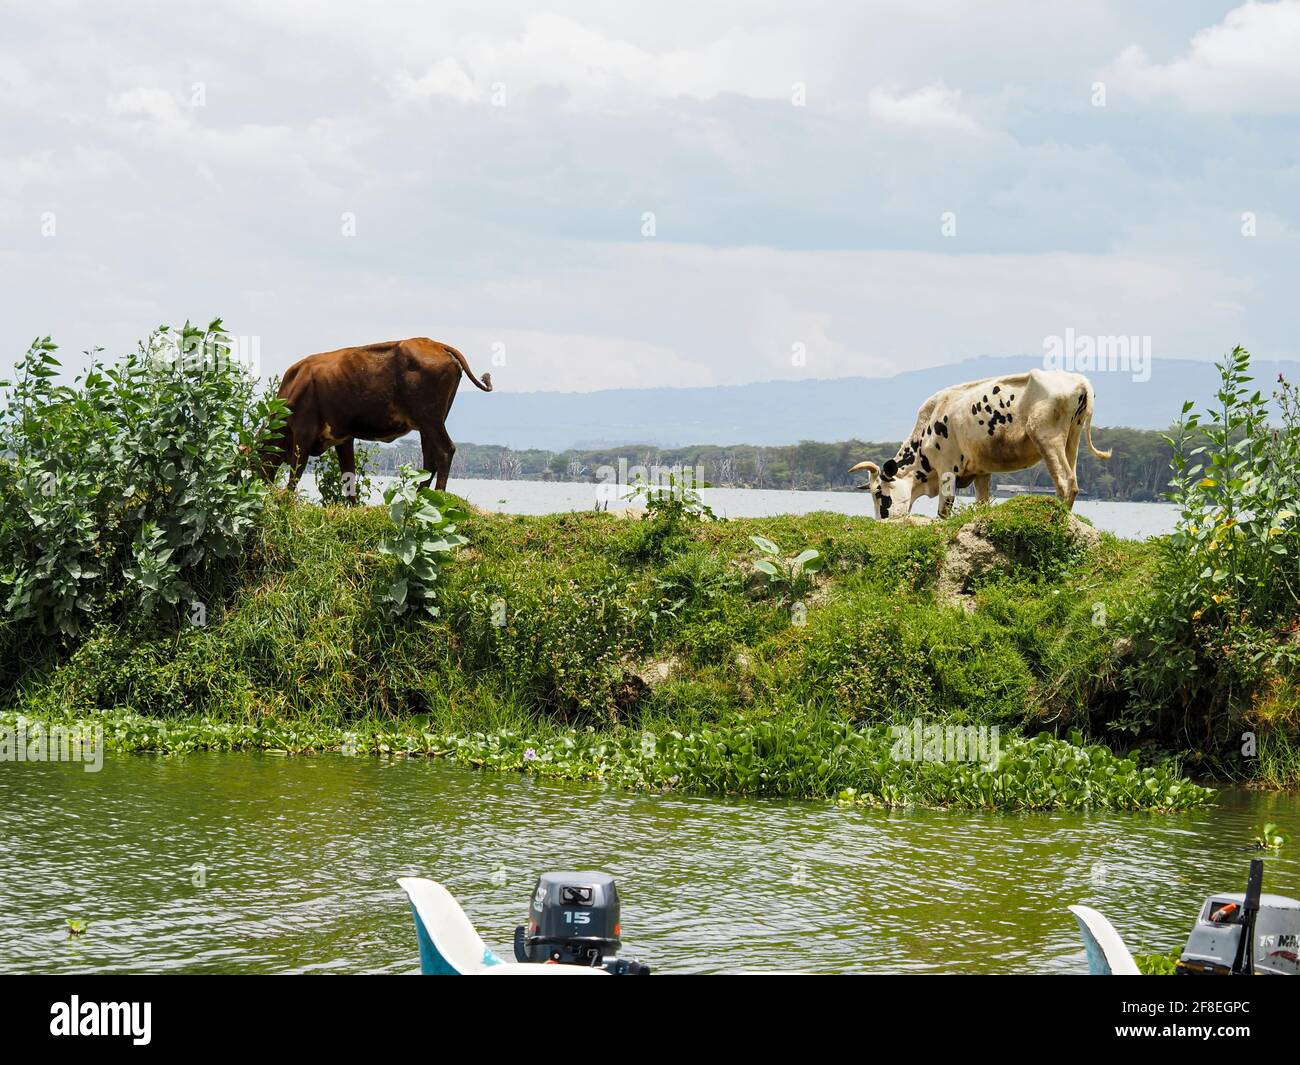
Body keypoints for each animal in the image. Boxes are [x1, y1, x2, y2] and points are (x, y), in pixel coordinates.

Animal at [263, 340, 491, 494]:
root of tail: (436, 344)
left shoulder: (303, 432)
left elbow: (296, 472)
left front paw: (285, 499)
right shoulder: (343, 437)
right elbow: (348, 474)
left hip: (430, 419)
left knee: (445, 451)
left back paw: (437, 496)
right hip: (429, 423)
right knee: (429, 458)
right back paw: (421, 495)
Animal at [847, 371, 1112, 520]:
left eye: (878, 492)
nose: (881, 522)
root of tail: (1079, 381)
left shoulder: (947, 469)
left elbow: (944, 511)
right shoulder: (982, 472)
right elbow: (982, 504)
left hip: (1047, 437)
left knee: (1065, 481)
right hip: (1072, 437)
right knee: (1073, 480)